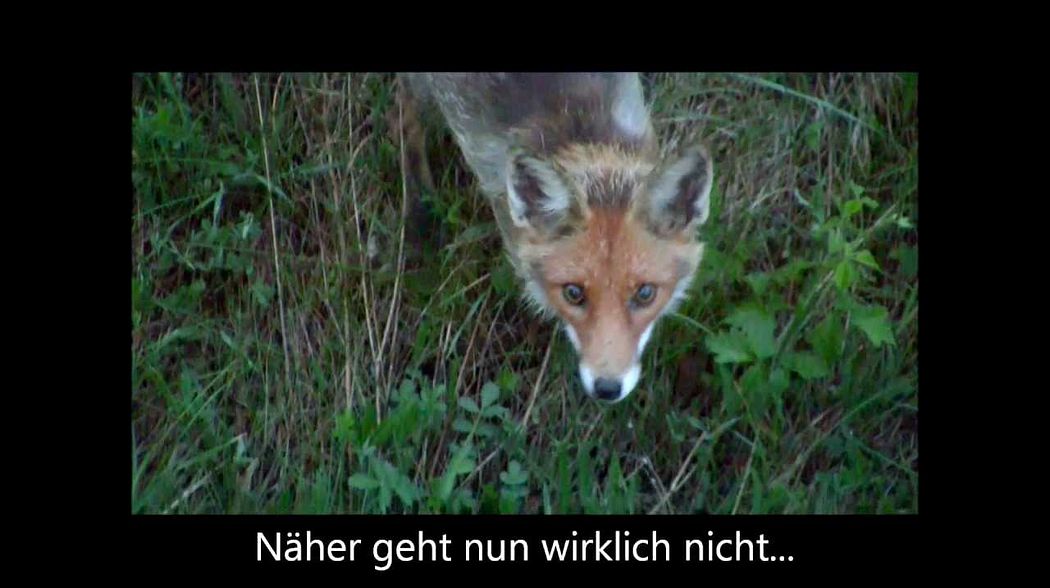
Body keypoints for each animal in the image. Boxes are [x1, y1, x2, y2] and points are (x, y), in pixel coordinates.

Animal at [396, 73, 713, 403]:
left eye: (645, 293)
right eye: (573, 293)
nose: (607, 389)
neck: (583, 137)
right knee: (404, 108)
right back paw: (420, 213)